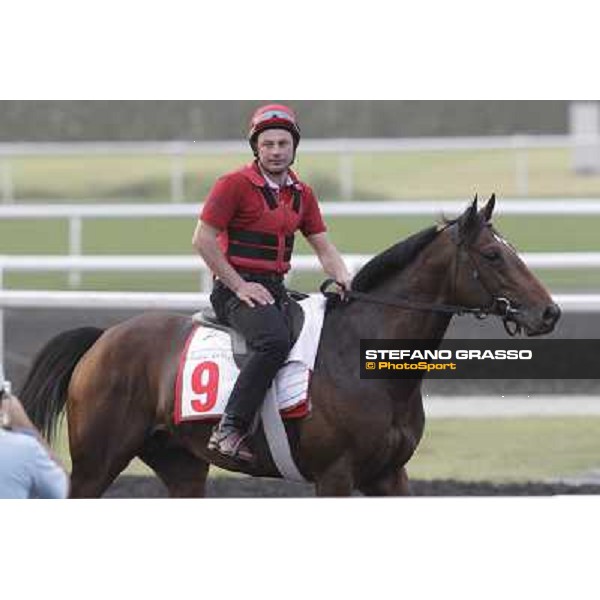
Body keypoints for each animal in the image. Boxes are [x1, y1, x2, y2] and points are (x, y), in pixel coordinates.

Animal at [21, 197, 560, 496]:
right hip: (96, 463)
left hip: (181, 467)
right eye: (492, 255)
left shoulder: (389, 476)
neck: (366, 360)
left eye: (512, 250)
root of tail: (104, 338)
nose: (549, 312)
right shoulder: (335, 477)